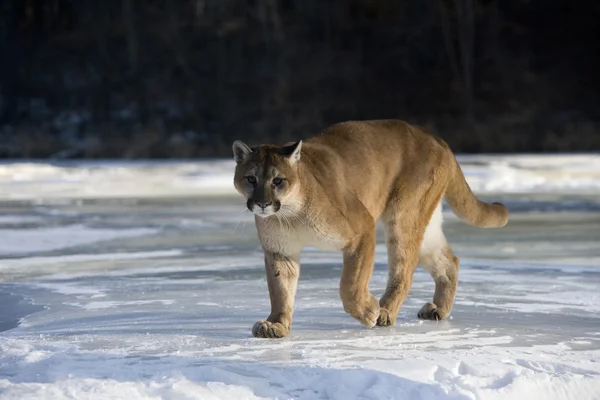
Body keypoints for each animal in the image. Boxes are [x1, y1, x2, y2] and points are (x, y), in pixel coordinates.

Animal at [231, 119, 506, 338]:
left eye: (278, 180)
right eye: (251, 179)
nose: (262, 203)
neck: (289, 214)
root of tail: (434, 137)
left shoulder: (362, 227)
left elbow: (350, 285)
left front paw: (369, 312)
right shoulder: (280, 251)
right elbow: (280, 289)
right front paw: (276, 324)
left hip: (403, 215)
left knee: (404, 270)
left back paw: (385, 312)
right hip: (424, 223)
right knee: (449, 261)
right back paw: (438, 309)